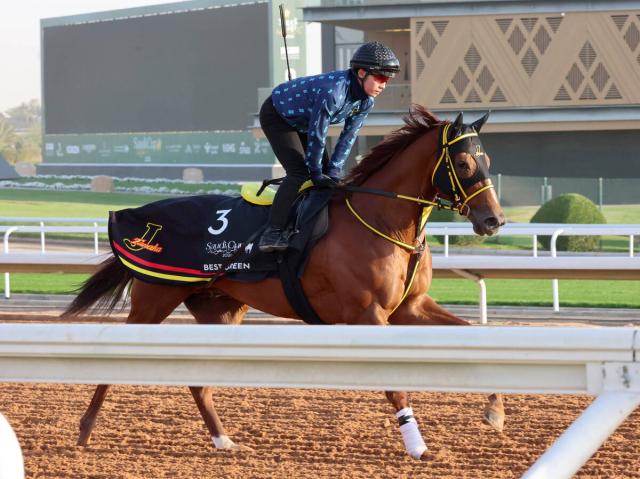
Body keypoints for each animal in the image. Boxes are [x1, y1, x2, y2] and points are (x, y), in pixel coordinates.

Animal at [62, 106, 506, 460]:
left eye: (487, 159)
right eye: (464, 164)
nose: (494, 220)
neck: (380, 219)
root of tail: (135, 214)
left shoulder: (411, 308)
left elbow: (474, 335)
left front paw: (496, 410)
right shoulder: (368, 314)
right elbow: (394, 385)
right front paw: (418, 447)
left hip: (219, 308)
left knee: (199, 382)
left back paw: (223, 440)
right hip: (155, 299)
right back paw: (84, 430)